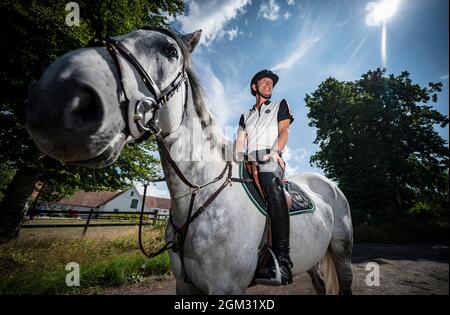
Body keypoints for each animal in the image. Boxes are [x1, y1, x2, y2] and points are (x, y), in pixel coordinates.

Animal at [26, 27, 354, 296]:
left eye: (170, 51)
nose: (58, 94)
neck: (199, 192)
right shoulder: (185, 284)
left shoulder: (225, 287)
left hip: (341, 251)